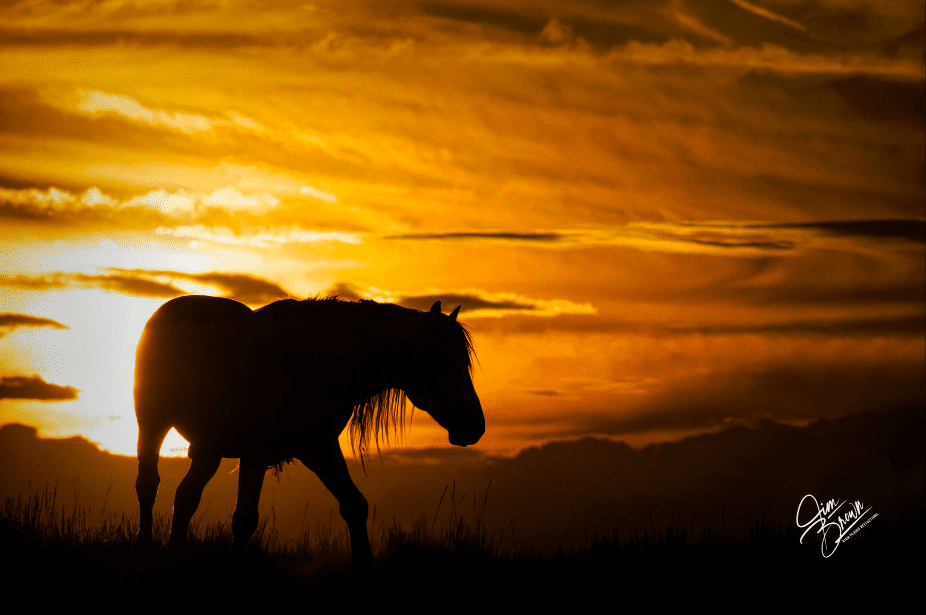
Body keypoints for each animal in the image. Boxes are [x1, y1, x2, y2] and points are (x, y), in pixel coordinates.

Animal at [133, 294, 484, 573]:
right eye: (441, 360)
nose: (475, 426)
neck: (311, 366)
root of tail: (168, 309)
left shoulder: (320, 448)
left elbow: (355, 505)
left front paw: (363, 568)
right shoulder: (255, 453)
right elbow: (244, 519)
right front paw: (227, 568)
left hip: (209, 449)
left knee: (186, 495)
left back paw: (174, 554)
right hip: (154, 423)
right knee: (149, 484)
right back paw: (145, 549)